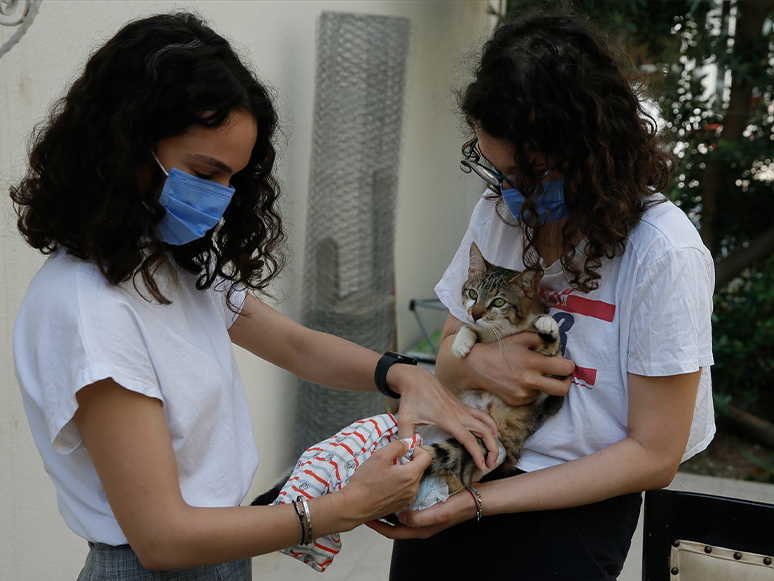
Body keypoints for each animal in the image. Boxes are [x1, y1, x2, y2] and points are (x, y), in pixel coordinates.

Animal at [422, 241, 568, 494]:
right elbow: (468, 328)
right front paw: (461, 343)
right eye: (473, 294)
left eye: (499, 302)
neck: (499, 332)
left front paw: (547, 323)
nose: (475, 314)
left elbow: (551, 354)